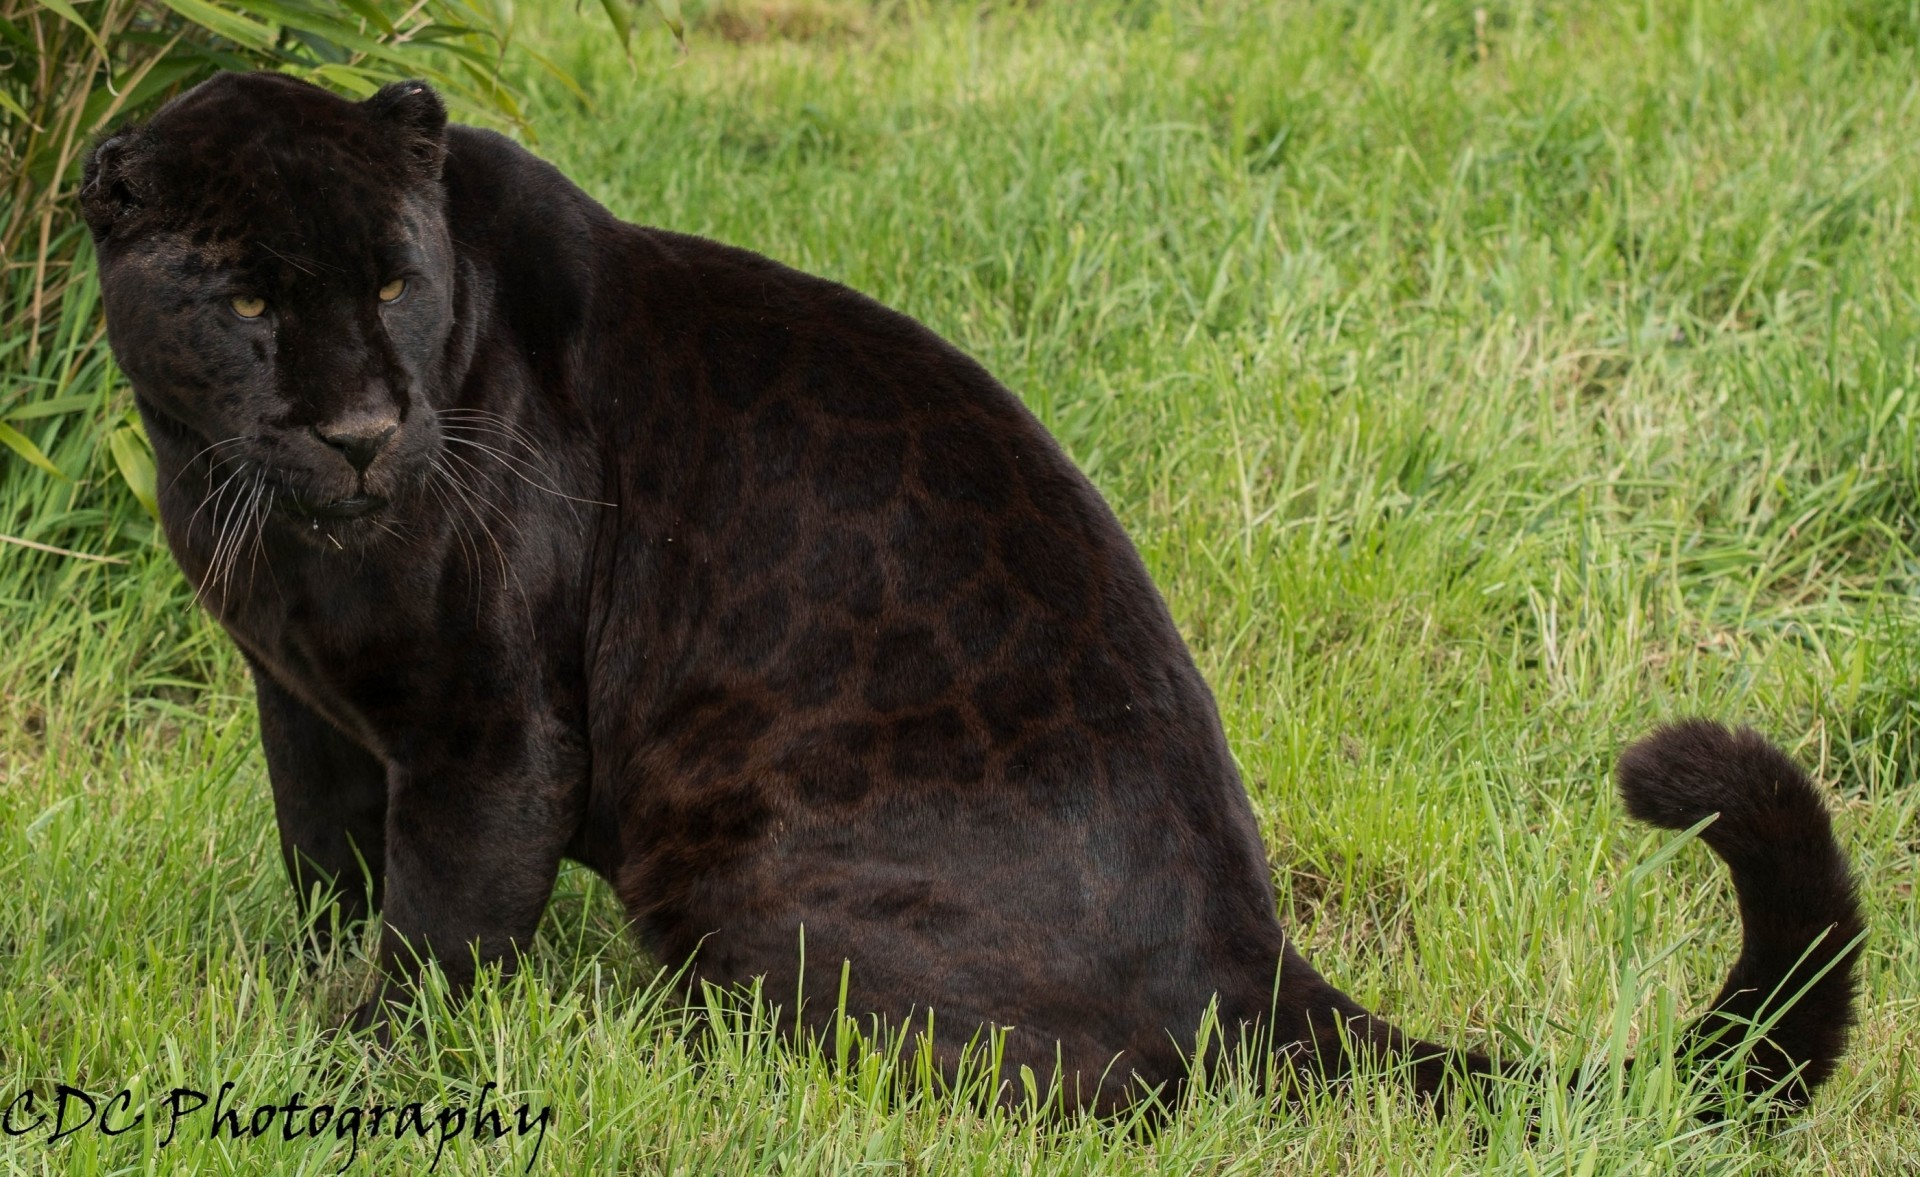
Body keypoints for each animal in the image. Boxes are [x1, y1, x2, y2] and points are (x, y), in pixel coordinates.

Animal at [81, 71, 1862, 1115]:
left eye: (390, 280)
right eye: (249, 298)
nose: (362, 429)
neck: (260, 521)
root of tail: (1254, 963)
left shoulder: (487, 737)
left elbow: (438, 930)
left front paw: (346, 1067)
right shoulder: (310, 711)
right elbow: (328, 867)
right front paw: (297, 993)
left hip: (752, 880)